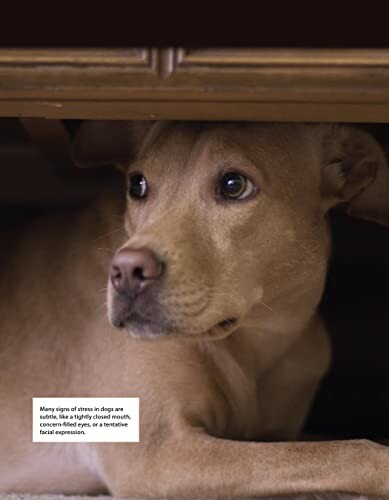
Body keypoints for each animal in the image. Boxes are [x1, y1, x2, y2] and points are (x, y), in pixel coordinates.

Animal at [0, 120, 388, 496]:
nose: (126, 272)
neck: (260, 337)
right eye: (137, 184)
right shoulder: (157, 455)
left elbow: (318, 447)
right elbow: (344, 452)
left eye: (234, 185)